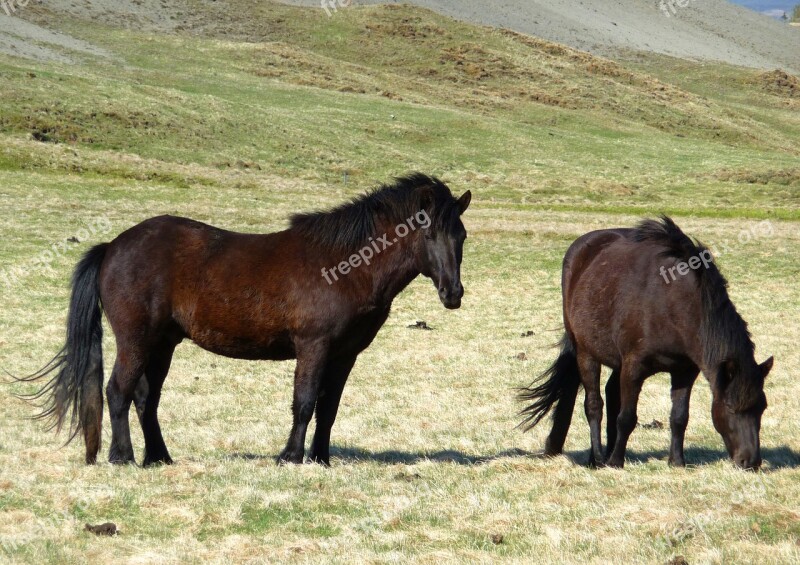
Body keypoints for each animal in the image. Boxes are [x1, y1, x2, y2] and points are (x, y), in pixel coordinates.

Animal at [520, 216, 772, 468]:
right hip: (586, 353)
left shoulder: (684, 371)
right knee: (594, 405)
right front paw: (616, 462)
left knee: (611, 395)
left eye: (762, 407)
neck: (676, 305)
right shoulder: (634, 367)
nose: (751, 461)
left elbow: (679, 417)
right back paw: (599, 458)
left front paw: (676, 461)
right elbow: (626, 417)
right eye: (730, 406)